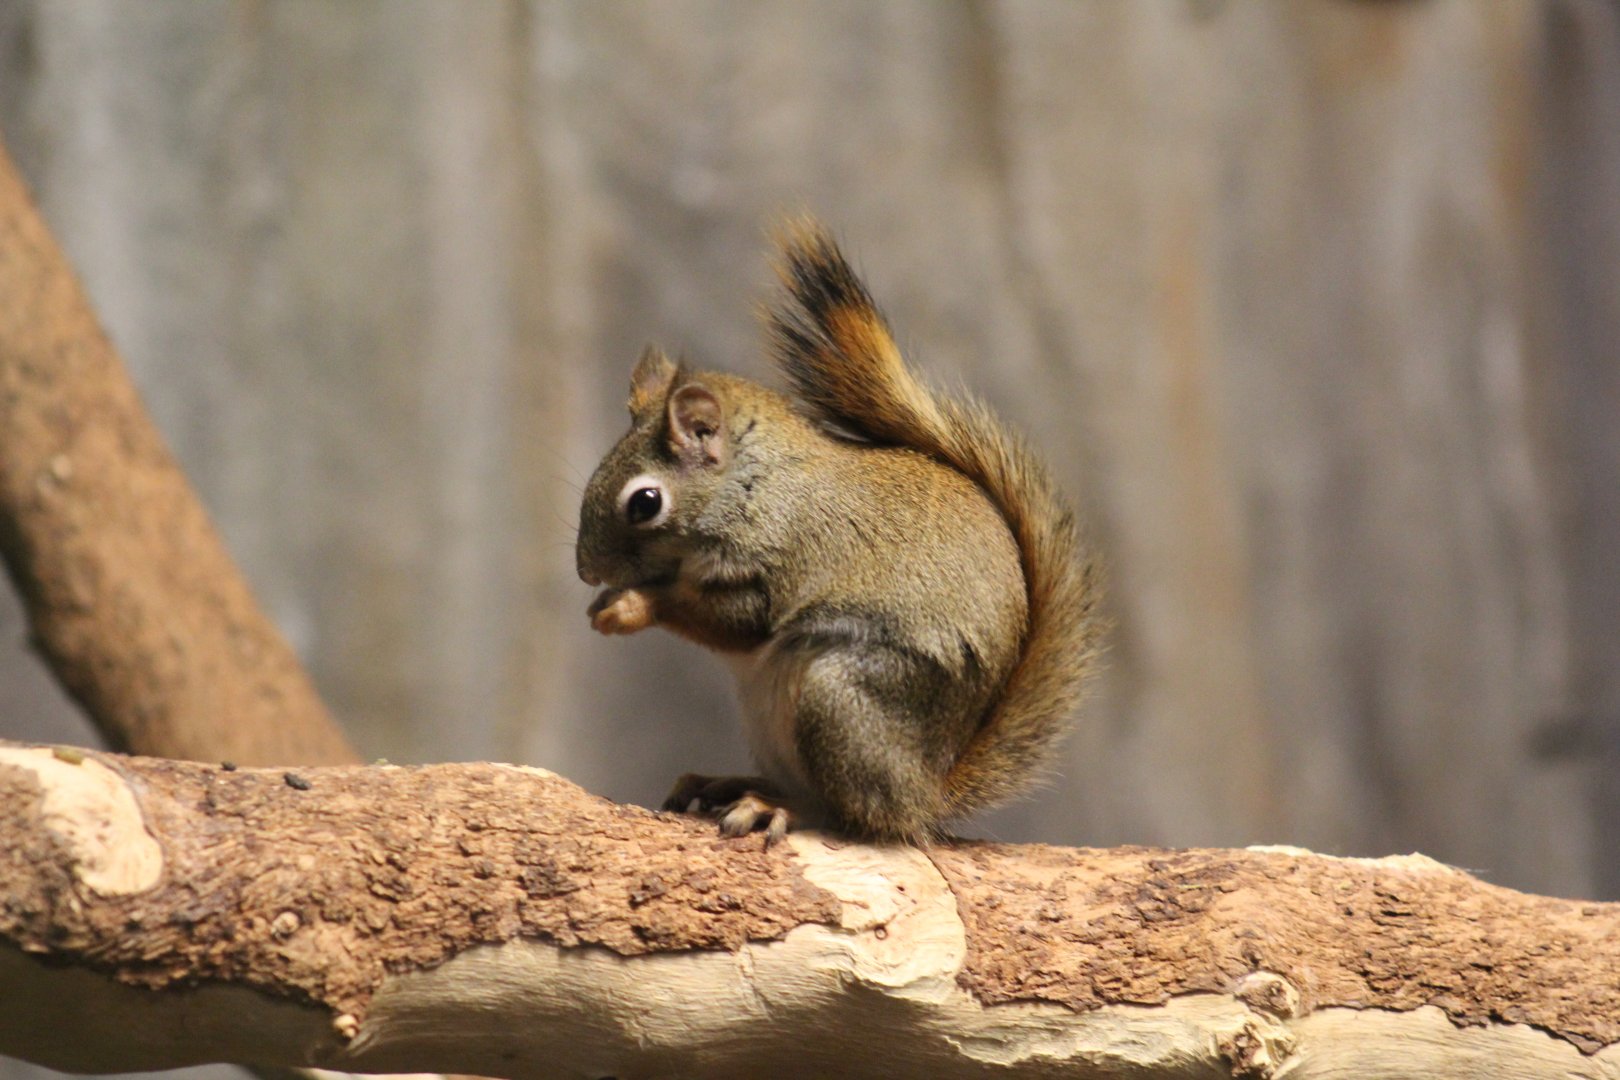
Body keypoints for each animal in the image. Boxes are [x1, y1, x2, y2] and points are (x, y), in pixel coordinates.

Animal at [575, 221, 1102, 845]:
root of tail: (926, 790)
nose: (586, 571)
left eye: (645, 503)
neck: (754, 483)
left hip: (839, 702)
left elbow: (732, 620)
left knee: (853, 814)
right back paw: (726, 784)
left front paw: (629, 607)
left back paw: (775, 808)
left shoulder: (778, 561)